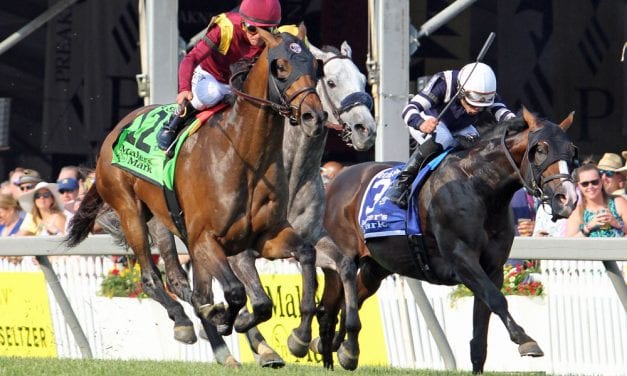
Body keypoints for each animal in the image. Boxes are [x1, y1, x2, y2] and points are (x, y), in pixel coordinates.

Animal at [67, 29, 326, 346]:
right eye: (281, 66)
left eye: (314, 65)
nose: (314, 117)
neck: (245, 156)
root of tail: (116, 131)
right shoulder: (205, 239)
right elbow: (234, 292)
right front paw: (222, 318)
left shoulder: (267, 235)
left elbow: (299, 262)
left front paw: (299, 335)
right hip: (129, 211)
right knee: (152, 277)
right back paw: (182, 321)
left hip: (160, 219)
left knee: (181, 279)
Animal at [318, 108, 580, 374]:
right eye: (540, 149)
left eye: (572, 151)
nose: (567, 199)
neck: (479, 185)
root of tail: (339, 179)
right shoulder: (461, 260)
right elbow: (497, 299)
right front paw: (526, 341)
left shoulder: (493, 268)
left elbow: (482, 326)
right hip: (343, 258)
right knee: (331, 306)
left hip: (377, 266)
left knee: (350, 301)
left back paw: (343, 349)